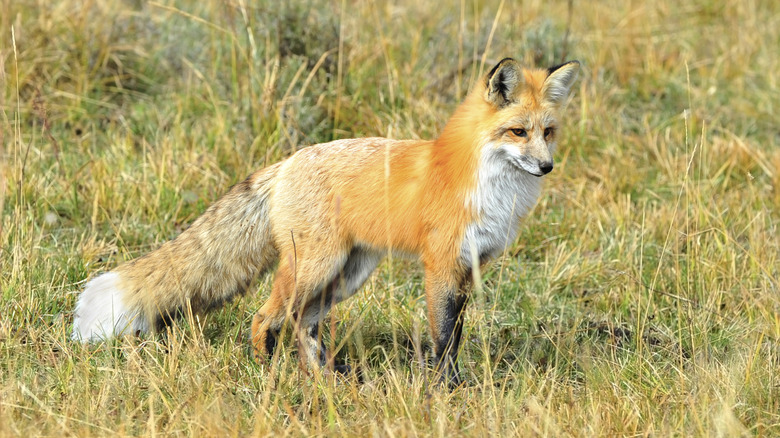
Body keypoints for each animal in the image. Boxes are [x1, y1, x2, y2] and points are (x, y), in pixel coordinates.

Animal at [72, 58, 580, 386]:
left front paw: (455, 386)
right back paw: (268, 373)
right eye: (518, 132)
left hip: (347, 274)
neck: (485, 185)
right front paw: (445, 391)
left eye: (548, 132)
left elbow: (454, 336)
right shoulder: (440, 265)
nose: (547, 167)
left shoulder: (470, 267)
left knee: (303, 323)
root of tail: (287, 162)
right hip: (315, 267)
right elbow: (442, 340)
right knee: (266, 318)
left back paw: (326, 377)